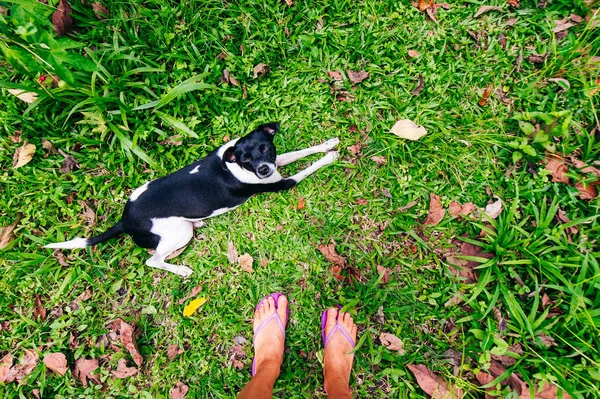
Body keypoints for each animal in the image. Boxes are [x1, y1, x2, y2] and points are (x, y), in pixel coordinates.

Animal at [44, 123, 340, 276]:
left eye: (266, 147)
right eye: (245, 160)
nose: (264, 170)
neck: (231, 163)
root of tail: (125, 220)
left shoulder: (277, 164)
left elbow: (301, 152)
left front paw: (327, 144)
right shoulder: (281, 183)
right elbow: (308, 167)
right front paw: (329, 157)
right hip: (178, 232)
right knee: (153, 261)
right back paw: (181, 270)